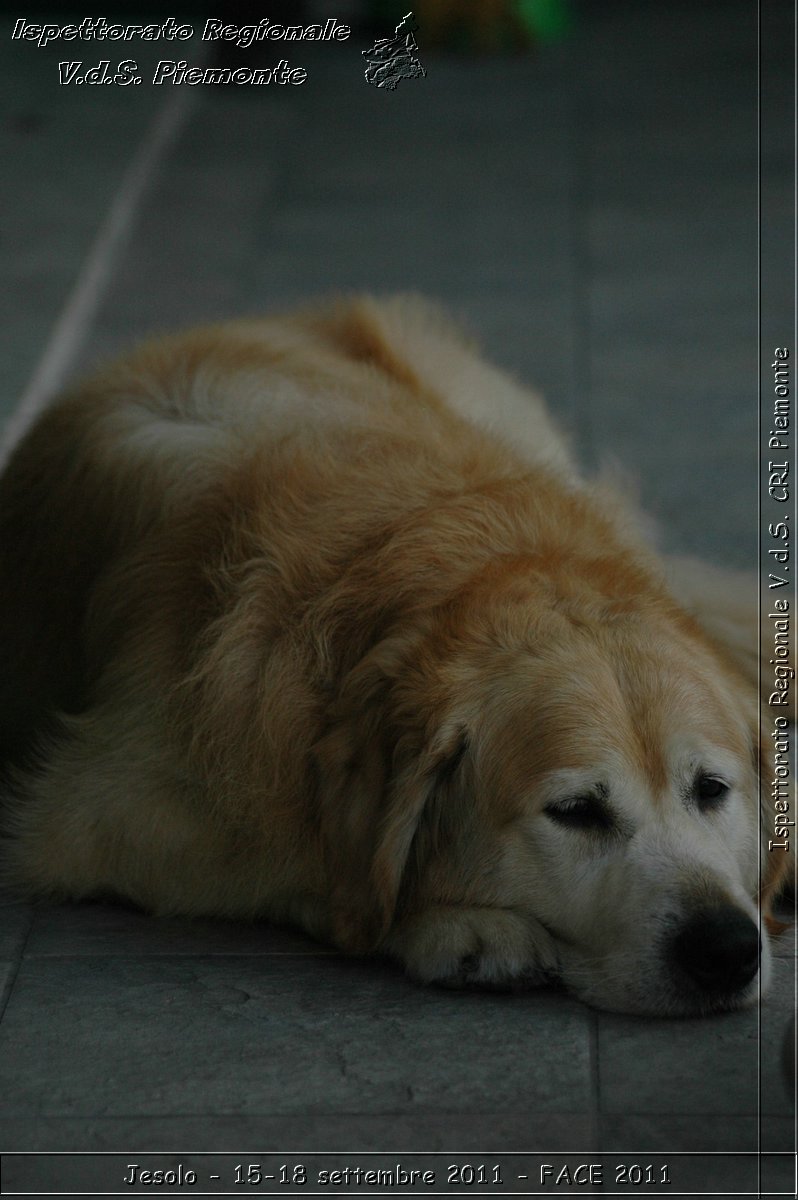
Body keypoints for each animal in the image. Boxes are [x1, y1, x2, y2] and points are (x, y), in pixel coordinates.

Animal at [0, 292, 792, 1012]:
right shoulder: (97, 814)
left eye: (711, 790)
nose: (727, 948)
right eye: (575, 812)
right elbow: (302, 868)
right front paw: (456, 923)